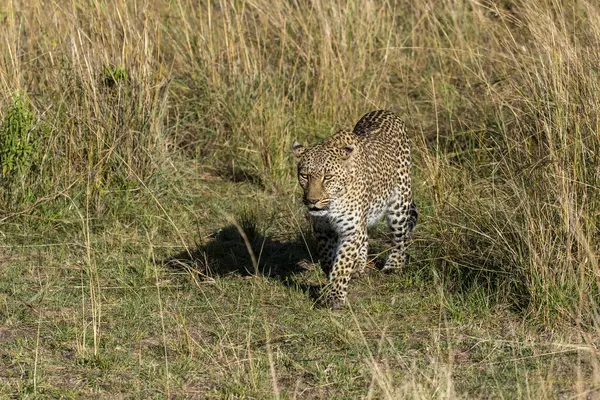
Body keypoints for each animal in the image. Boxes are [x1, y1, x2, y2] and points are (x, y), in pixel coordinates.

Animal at [292, 109, 418, 310]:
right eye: (305, 176)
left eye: (328, 177)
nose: (312, 201)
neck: (333, 204)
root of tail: (386, 111)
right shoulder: (322, 230)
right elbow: (328, 259)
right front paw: (330, 282)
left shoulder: (351, 229)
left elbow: (342, 264)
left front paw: (335, 296)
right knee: (365, 236)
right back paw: (359, 265)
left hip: (399, 204)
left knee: (400, 237)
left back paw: (394, 266)